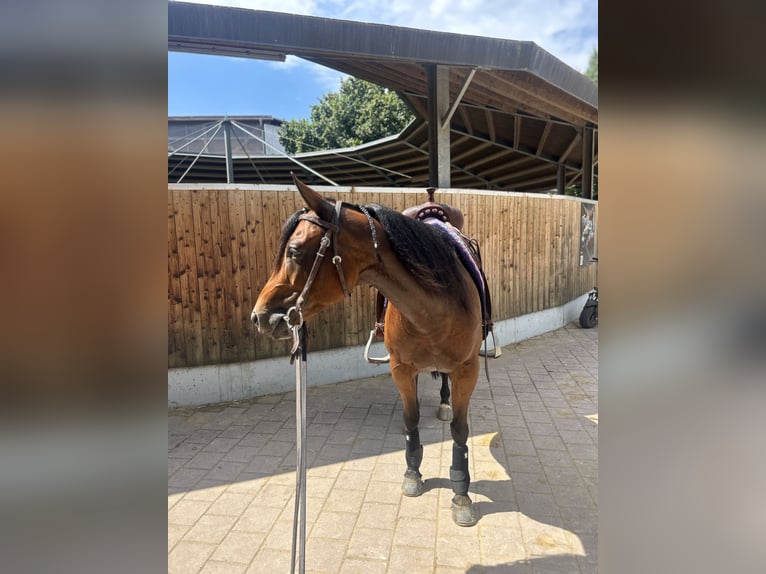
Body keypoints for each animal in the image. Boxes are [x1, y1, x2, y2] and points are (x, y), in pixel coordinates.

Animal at [251, 177, 484, 526]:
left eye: (293, 251)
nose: (259, 316)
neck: (433, 306)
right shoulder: (401, 369)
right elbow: (411, 418)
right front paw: (412, 472)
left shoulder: (467, 371)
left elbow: (459, 429)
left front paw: (461, 492)